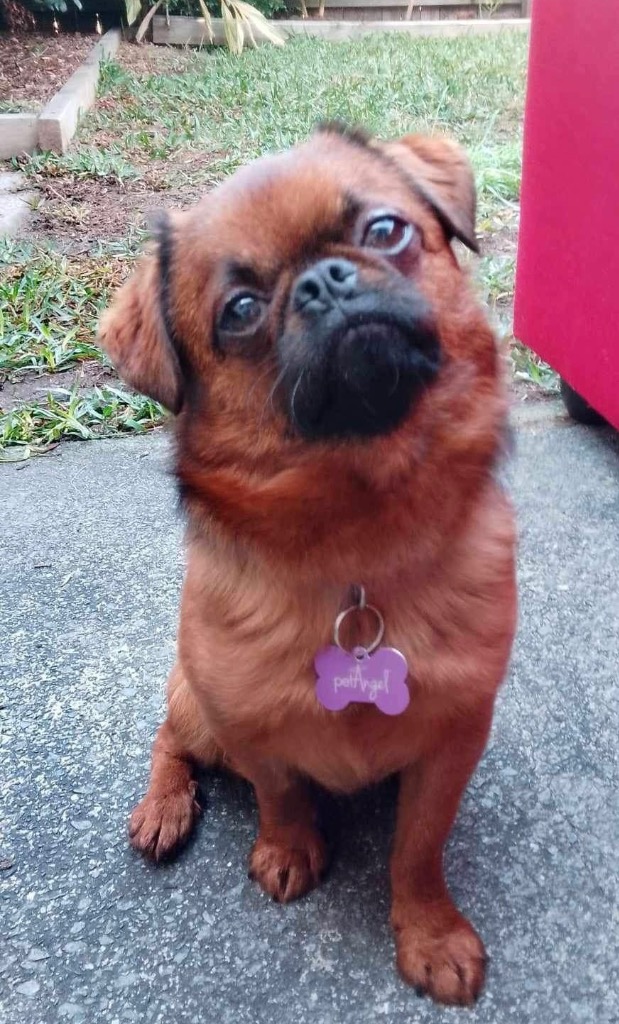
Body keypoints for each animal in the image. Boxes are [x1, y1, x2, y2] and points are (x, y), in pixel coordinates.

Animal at [98, 123, 517, 1007]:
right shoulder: (244, 720)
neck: (356, 534)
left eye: (385, 231)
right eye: (240, 311)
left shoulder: (453, 740)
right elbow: (280, 791)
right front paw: (288, 850)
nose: (324, 282)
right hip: (193, 698)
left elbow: (417, 849)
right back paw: (164, 808)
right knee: (168, 736)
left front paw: (429, 933)